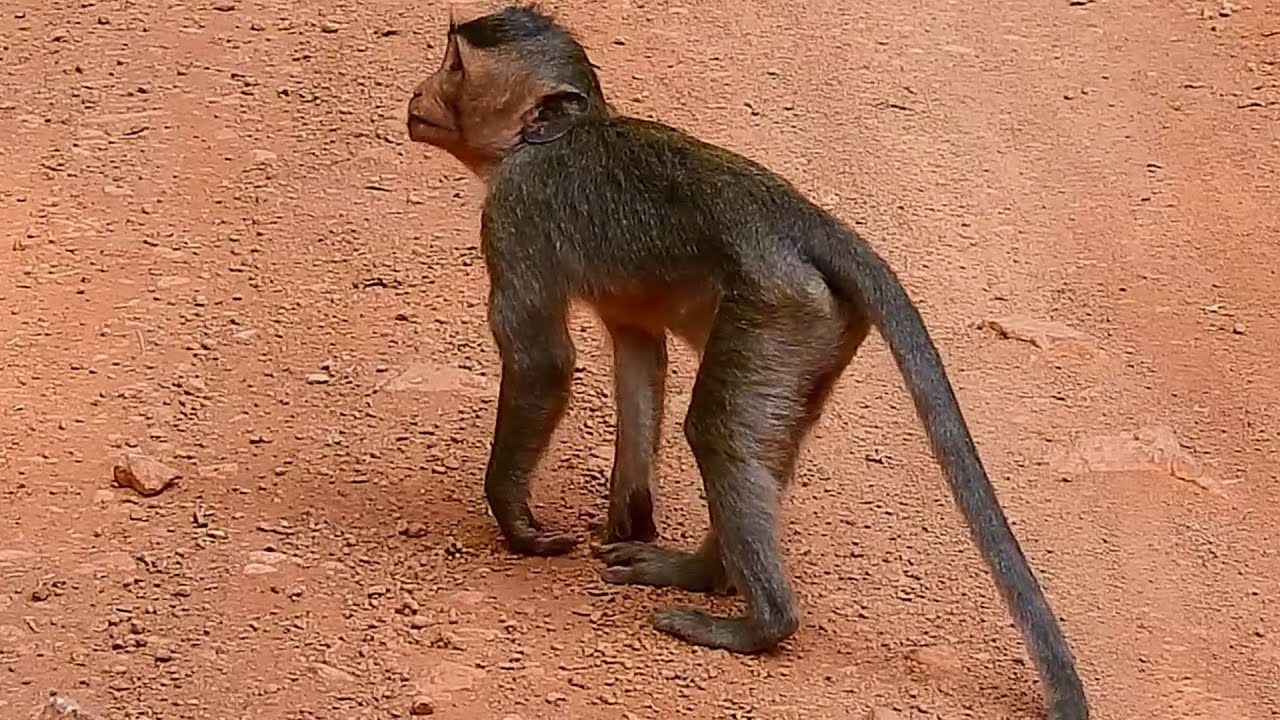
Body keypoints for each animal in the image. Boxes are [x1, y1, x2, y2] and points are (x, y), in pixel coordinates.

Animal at [404, 5, 1088, 719]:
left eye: (456, 67)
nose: (419, 92)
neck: (550, 139)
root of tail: (798, 219)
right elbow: (639, 353)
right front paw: (630, 512)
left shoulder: (516, 211)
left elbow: (543, 362)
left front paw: (519, 524)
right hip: (816, 333)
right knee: (761, 441)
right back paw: (704, 572)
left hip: (777, 308)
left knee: (719, 433)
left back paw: (759, 621)